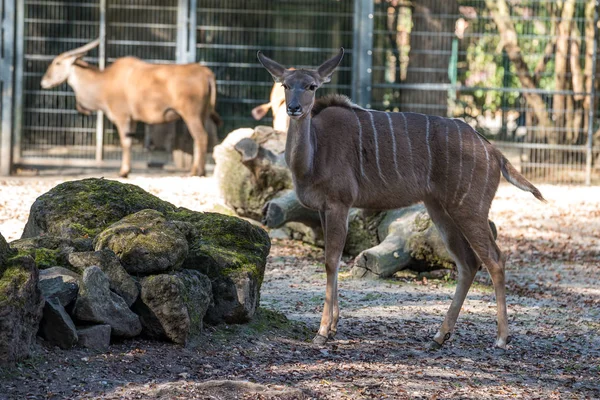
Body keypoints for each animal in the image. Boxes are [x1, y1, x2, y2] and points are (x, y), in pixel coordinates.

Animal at [41, 38, 220, 177]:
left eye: (57, 63)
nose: (44, 82)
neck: (105, 81)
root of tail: (206, 72)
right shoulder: (133, 119)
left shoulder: (122, 117)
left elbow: (125, 142)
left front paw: (124, 171)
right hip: (203, 115)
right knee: (202, 139)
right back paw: (201, 170)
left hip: (191, 115)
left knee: (201, 137)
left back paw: (195, 172)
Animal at [255, 47, 548, 346]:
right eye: (285, 85)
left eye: (311, 86)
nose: (294, 108)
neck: (314, 155)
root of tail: (495, 153)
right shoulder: (325, 209)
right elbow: (332, 261)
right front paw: (334, 326)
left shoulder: (339, 204)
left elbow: (331, 261)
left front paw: (323, 332)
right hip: (439, 208)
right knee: (468, 263)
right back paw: (439, 335)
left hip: (470, 208)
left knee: (495, 259)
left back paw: (500, 338)